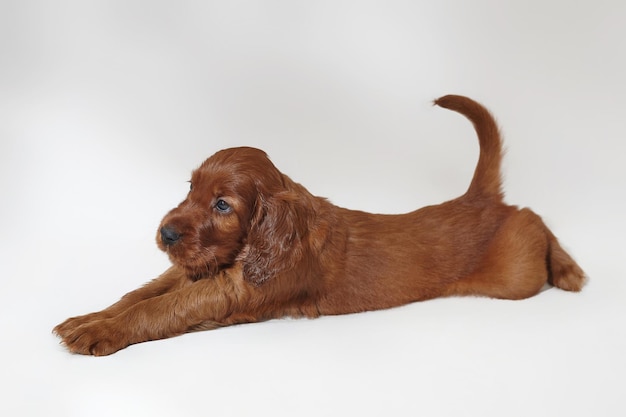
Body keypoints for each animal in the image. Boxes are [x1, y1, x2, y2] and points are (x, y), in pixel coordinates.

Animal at [54, 94, 584, 354]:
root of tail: (477, 197)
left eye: (222, 205)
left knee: (532, 221)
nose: (165, 233)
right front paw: (88, 319)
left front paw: (102, 333)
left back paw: (569, 270)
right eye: (190, 189)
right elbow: (140, 293)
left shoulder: (235, 289)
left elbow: (164, 307)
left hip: (513, 276)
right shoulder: (198, 268)